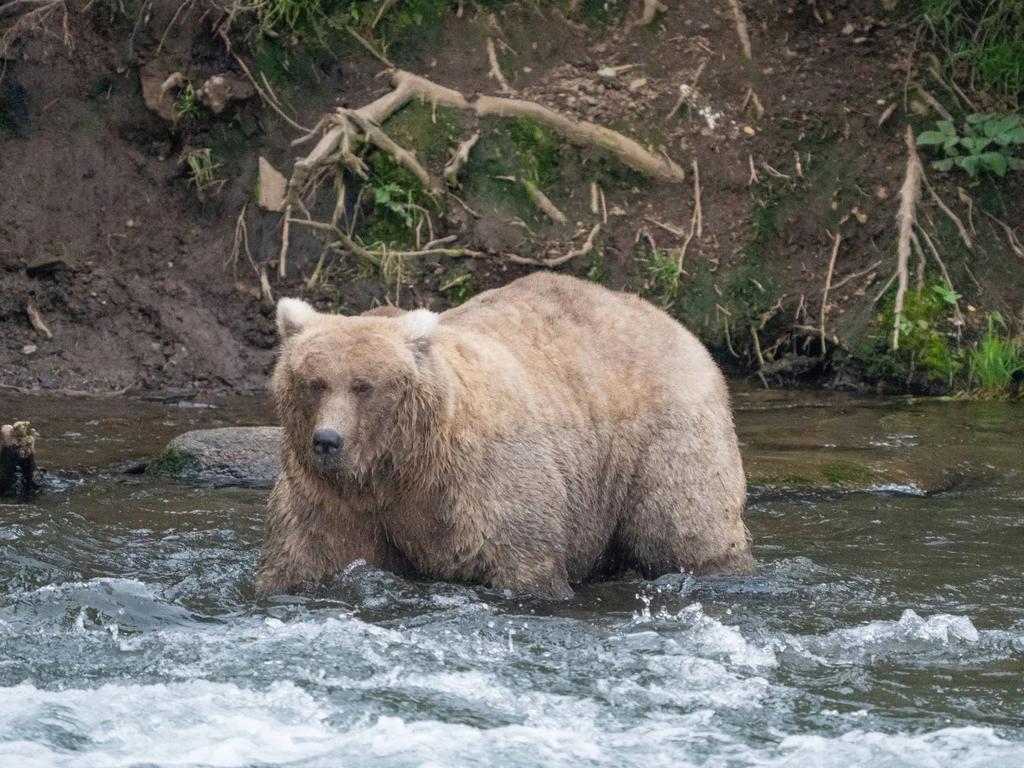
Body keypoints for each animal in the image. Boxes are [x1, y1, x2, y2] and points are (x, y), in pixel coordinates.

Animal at [256, 274, 753, 598]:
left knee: (684, 526)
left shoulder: (481, 482)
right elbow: (304, 557)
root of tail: (672, 322)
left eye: (364, 386)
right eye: (314, 382)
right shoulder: (332, 500)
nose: (327, 440)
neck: (400, 467)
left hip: (664, 436)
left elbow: (522, 560)